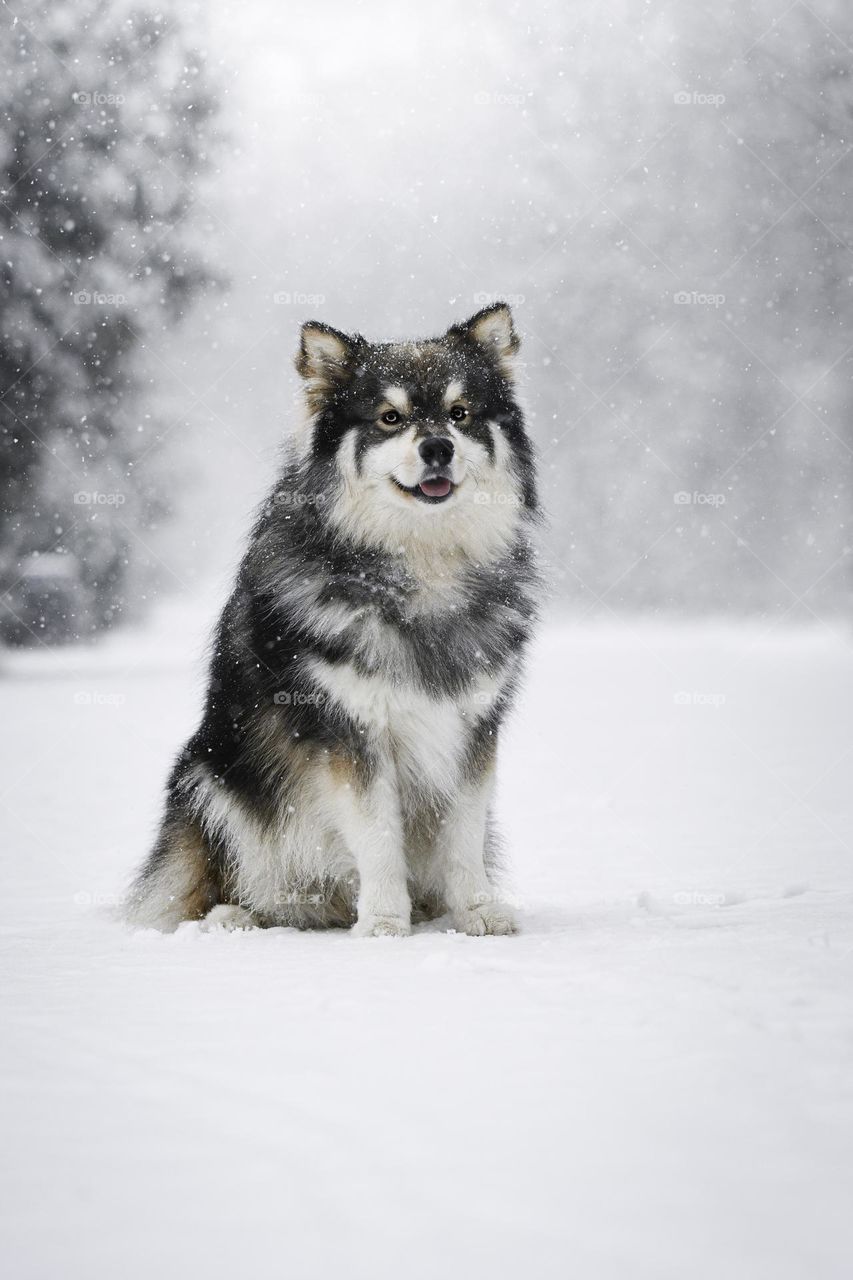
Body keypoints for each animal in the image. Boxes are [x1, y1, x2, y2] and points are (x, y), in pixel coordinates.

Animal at [126, 303, 537, 936]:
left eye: (460, 413)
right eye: (390, 418)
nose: (437, 448)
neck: (420, 568)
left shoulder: (474, 729)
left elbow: (462, 837)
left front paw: (476, 911)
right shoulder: (350, 734)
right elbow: (378, 837)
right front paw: (385, 923)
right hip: (208, 778)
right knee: (220, 887)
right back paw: (235, 916)